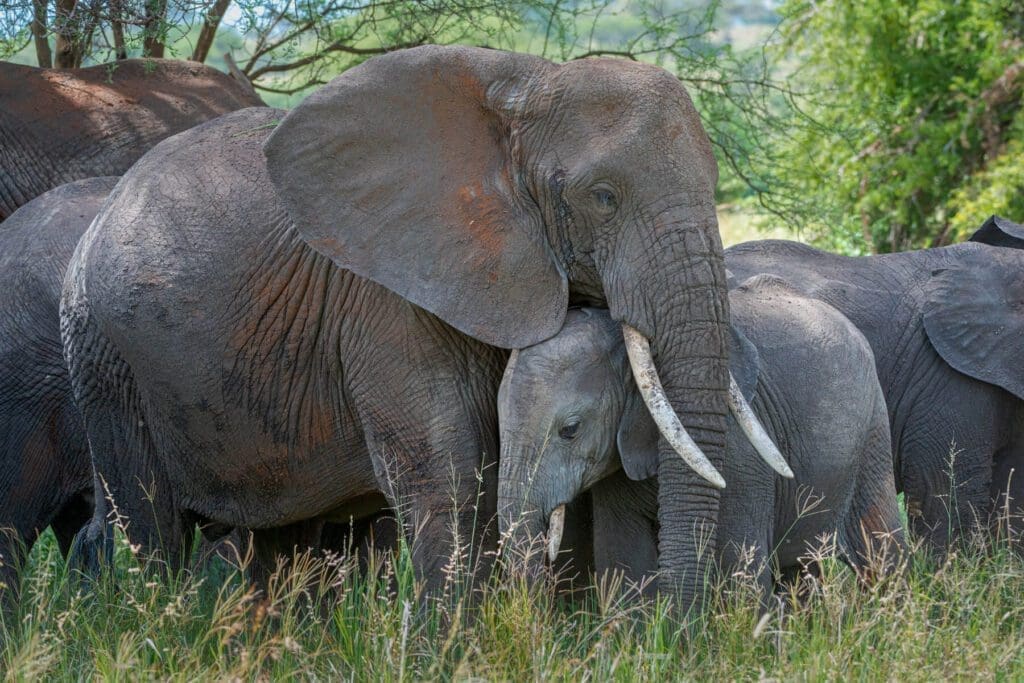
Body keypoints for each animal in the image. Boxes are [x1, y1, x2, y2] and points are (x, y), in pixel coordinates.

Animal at [58, 45, 774, 602]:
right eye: (603, 197)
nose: (678, 620)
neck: (523, 93)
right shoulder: (385, 302)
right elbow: (449, 481)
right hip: (101, 352)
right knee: (150, 524)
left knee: (281, 540)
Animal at [495, 278, 905, 598]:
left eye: (571, 430)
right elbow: (625, 561)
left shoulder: (739, 450)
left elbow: (740, 568)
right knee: (801, 571)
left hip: (872, 430)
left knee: (881, 549)